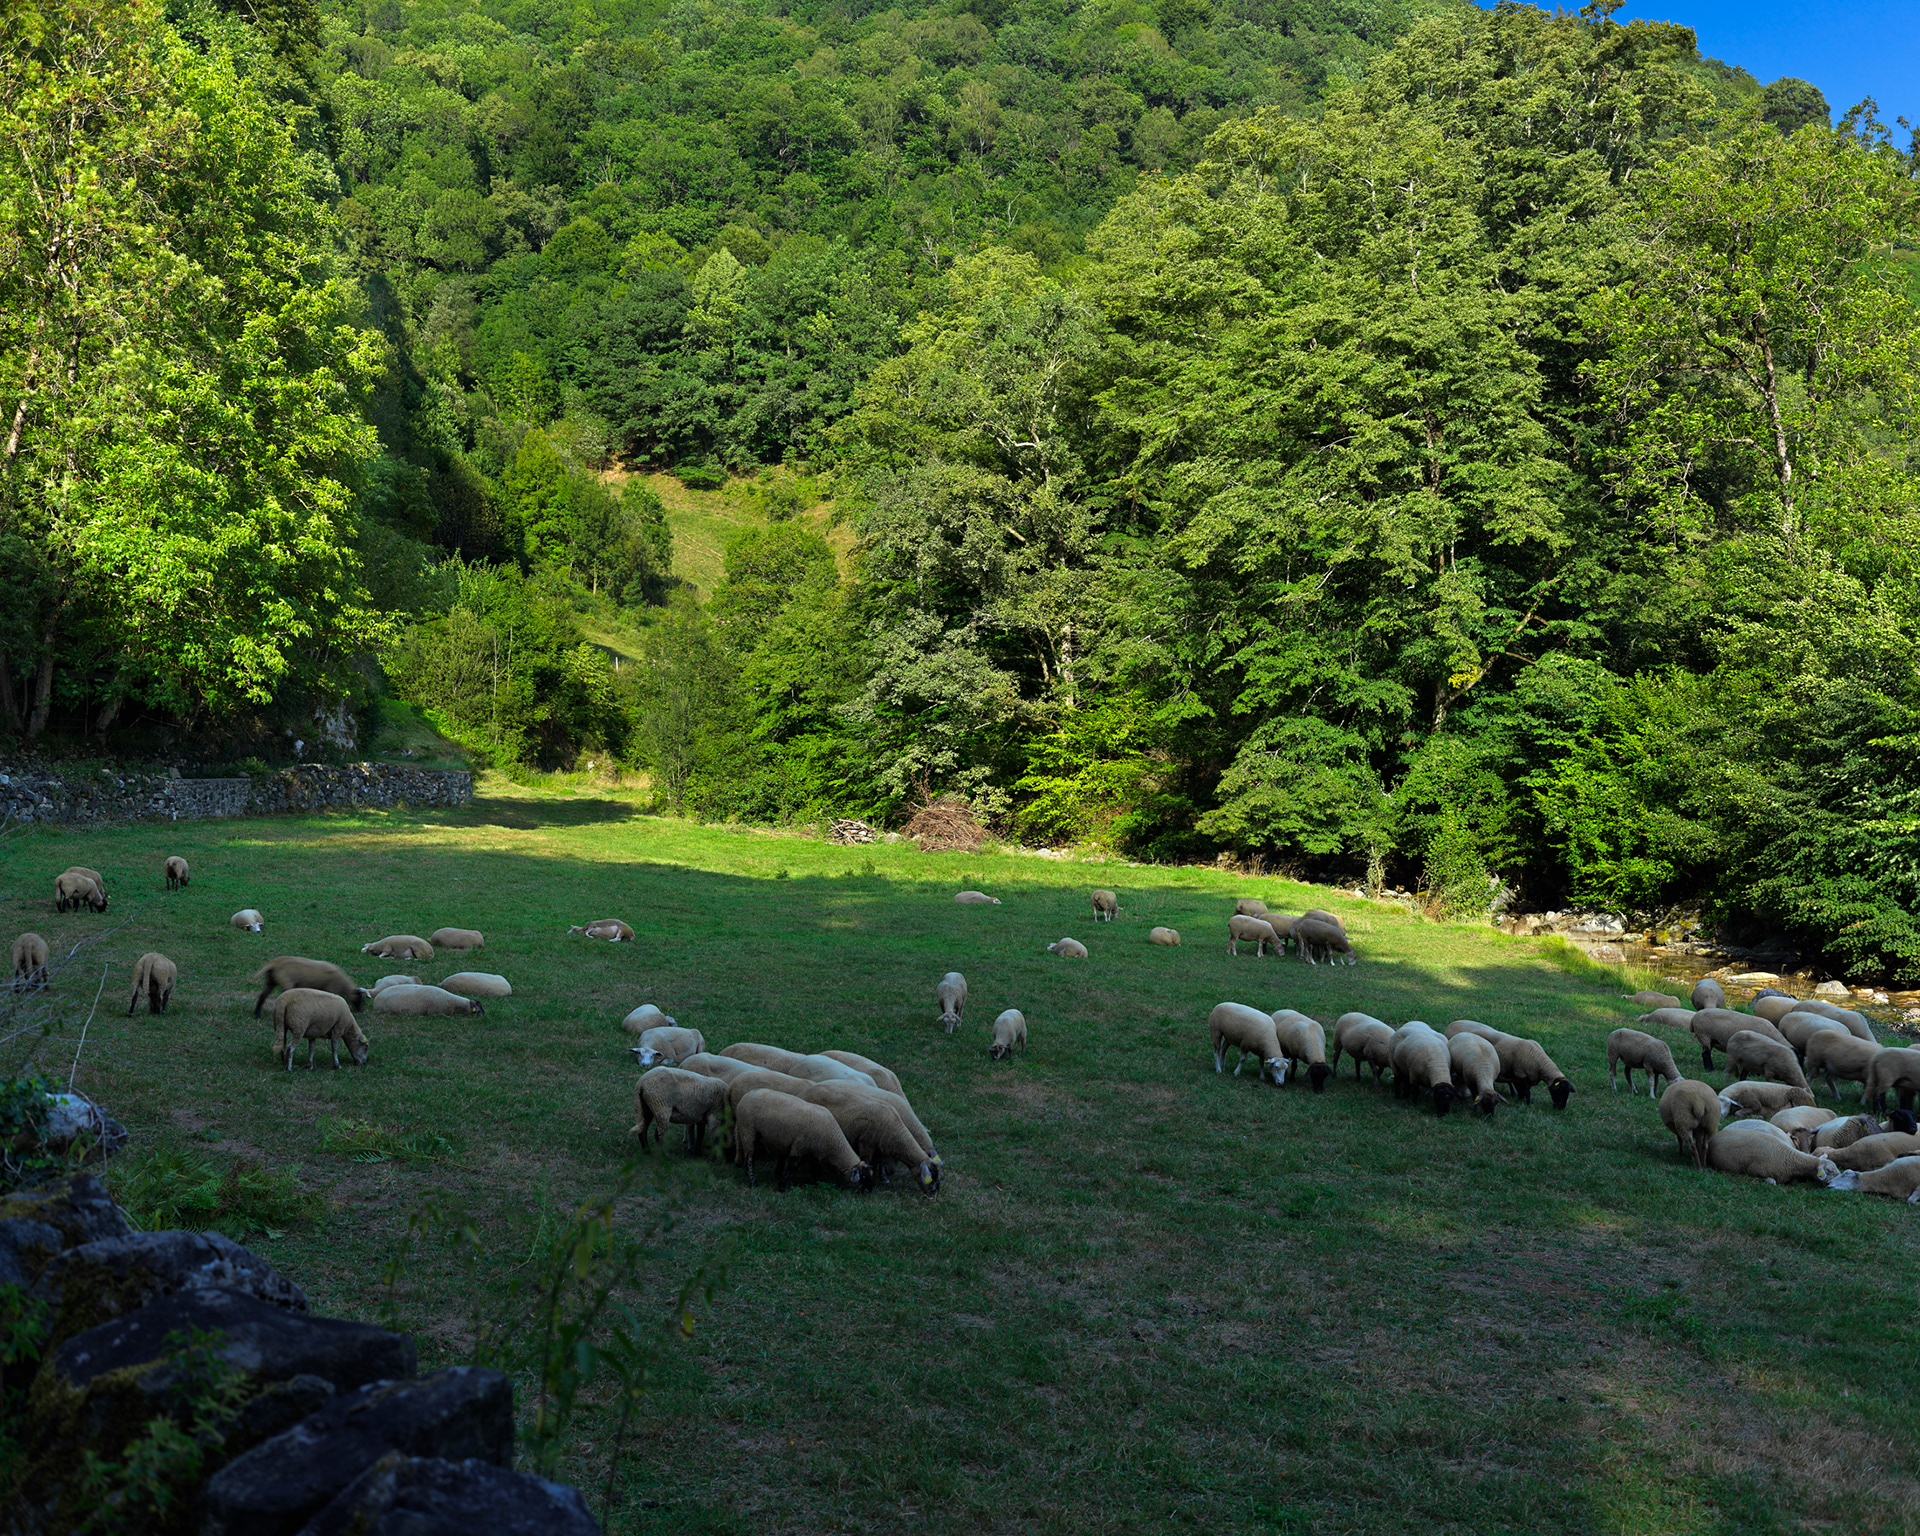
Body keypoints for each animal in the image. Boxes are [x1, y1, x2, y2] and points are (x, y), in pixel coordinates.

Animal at [732, 1089, 874, 1192]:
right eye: (863, 1176)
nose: (869, 1191)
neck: (833, 1142)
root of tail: (744, 1098)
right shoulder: (799, 1147)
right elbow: (792, 1167)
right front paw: (781, 1186)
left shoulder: (813, 1153)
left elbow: (816, 1169)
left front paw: (818, 1183)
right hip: (748, 1130)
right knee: (750, 1158)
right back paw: (753, 1182)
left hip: (750, 1132)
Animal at [793, 1082, 937, 1192]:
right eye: (929, 1177)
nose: (933, 1193)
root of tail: (806, 1091)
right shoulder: (866, 1144)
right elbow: (868, 1162)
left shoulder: (879, 1148)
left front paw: (882, 1178)